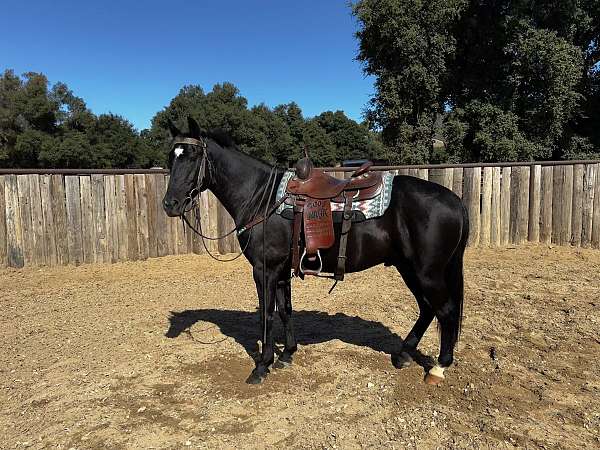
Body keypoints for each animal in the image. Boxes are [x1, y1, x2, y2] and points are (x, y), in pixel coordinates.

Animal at [163, 115, 468, 384]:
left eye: (192, 155)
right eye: (171, 157)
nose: (170, 204)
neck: (261, 197)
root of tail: (454, 200)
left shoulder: (264, 270)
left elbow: (266, 315)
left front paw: (262, 366)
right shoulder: (281, 270)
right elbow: (285, 310)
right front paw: (287, 354)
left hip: (427, 272)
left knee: (445, 310)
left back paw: (439, 367)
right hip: (408, 268)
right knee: (427, 309)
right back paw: (403, 354)